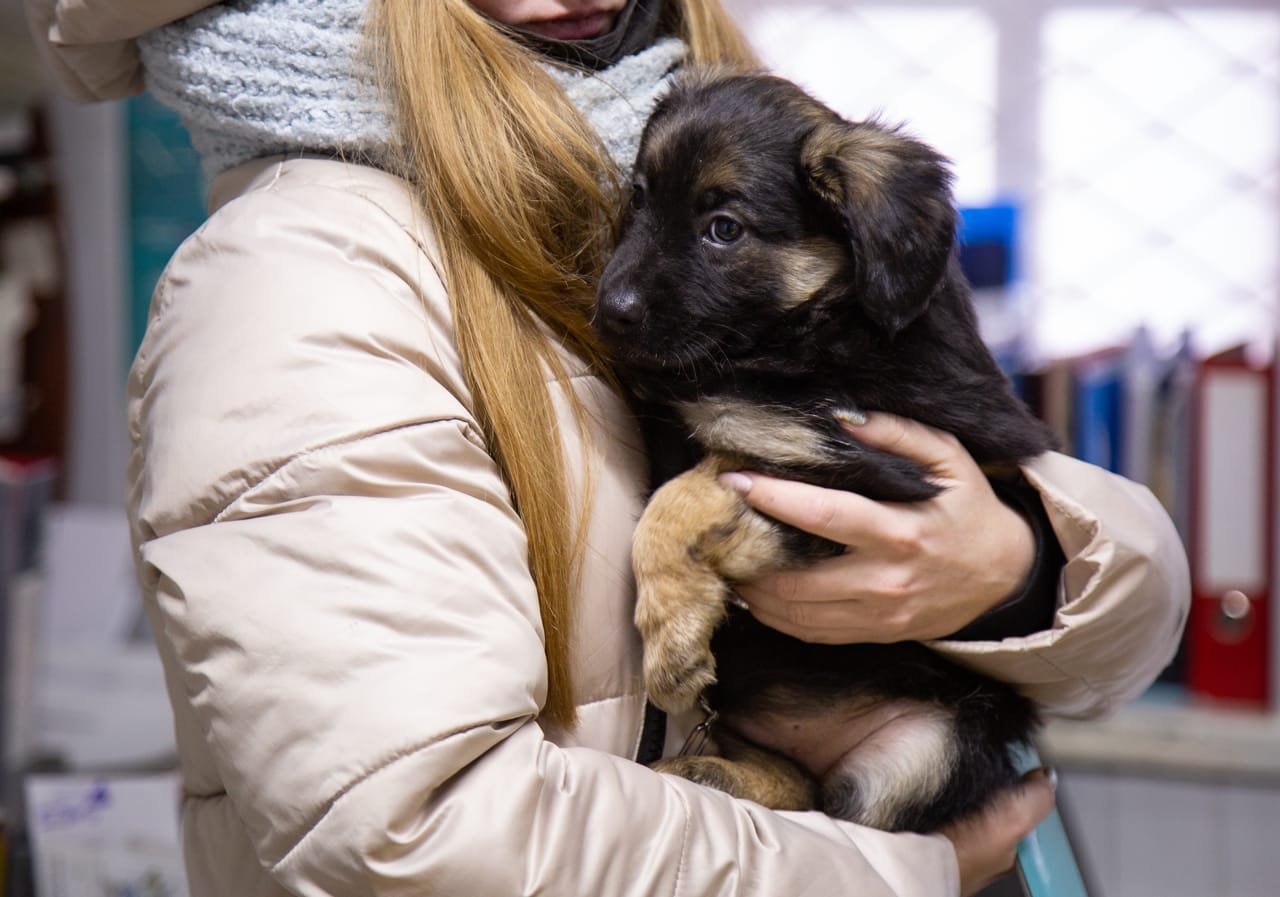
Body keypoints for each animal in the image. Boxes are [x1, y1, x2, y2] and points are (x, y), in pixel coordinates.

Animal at [593, 70, 1054, 834]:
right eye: (639, 199)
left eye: (724, 229)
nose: (609, 311)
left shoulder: (870, 471)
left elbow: (684, 495)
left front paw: (671, 628)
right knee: (801, 790)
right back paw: (710, 771)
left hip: (919, 752)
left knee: (841, 812)